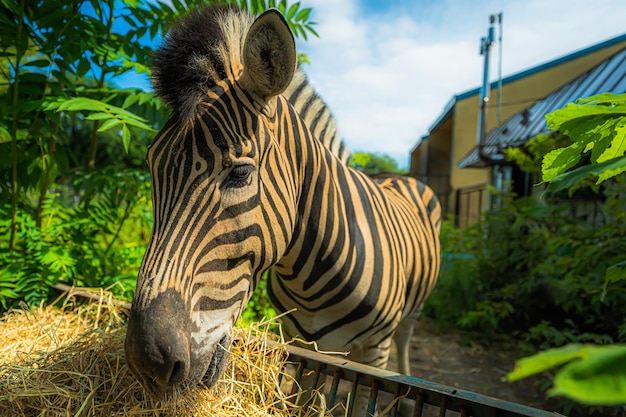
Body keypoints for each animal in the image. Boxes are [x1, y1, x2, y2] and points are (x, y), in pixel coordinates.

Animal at [124, 4, 442, 400]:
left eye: (240, 173)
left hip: (408, 316)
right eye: (152, 166)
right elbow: (305, 396)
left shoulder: (374, 350)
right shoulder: (303, 342)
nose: (145, 361)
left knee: (405, 340)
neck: (312, 277)